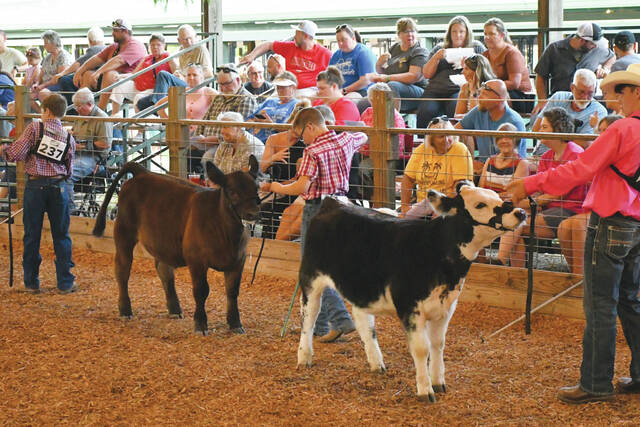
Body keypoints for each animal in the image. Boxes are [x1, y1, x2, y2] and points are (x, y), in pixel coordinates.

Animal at [93, 158, 260, 335]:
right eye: (233, 192)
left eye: (257, 188)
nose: (254, 213)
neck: (228, 236)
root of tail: (143, 172)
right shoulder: (196, 260)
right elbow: (201, 291)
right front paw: (201, 324)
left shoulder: (238, 260)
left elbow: (232, 291)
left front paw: (235, 324)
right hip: (124, 233)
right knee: (122, 270)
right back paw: (125, 310)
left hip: (163, 242)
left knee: (164, 271)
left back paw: (174, 309)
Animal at [296, 181, 526, 401]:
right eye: (479, 204)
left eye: (497, 197)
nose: (520, 212)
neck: (436, 251)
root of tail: (333, 202)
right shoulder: (410, 307)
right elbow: (421, 349)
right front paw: (425, 390)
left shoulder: (446, 307)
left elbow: (438, 344)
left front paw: (438, 382)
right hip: (310, 276)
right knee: (309, 316)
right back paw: (304, 357)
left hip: (362, 286)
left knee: (363, 321)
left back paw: (376, 363)